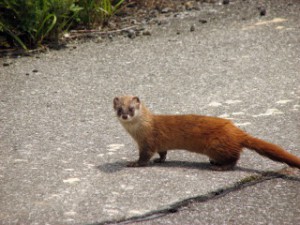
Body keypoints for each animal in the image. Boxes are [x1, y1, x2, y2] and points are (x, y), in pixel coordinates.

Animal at [113, 95, 300, 171]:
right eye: (119, 109)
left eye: (131, 108)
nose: (124, 115)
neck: (137, 132)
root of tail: (235, 130)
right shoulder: (159, 143)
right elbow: (163, 152)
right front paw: (160, 160)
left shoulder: (148, 142)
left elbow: (144, 157)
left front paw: (133, 163)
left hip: (215, 144)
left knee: (234, 157)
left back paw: (220, 166)